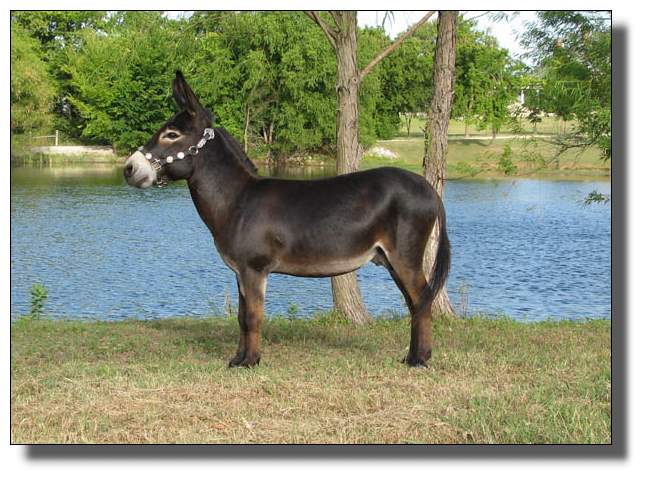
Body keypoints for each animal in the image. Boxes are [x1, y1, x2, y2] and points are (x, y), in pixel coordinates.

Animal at [124, 71, 450, 368]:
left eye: (172, 135)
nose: (128, 169)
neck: (238, 200)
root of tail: (429, 188)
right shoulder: (240, 271)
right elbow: (241, 317)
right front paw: (238, 359)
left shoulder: (254, 269)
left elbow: (253, 317)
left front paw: (251, 362)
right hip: (392, 259)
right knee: (415, 302)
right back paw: (413, 356)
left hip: (404, 256)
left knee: (421, 300)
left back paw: (419, 360)